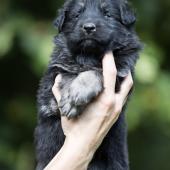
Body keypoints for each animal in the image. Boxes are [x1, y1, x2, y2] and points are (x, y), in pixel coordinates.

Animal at [34, 0, 141, 170]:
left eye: (107, 14)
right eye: (77, 15)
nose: (89, 27)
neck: (89, 56)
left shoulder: (120, 74)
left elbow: (96, 72)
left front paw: (77, 94)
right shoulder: (52, 80)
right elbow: (68, 74)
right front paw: (71, 101)